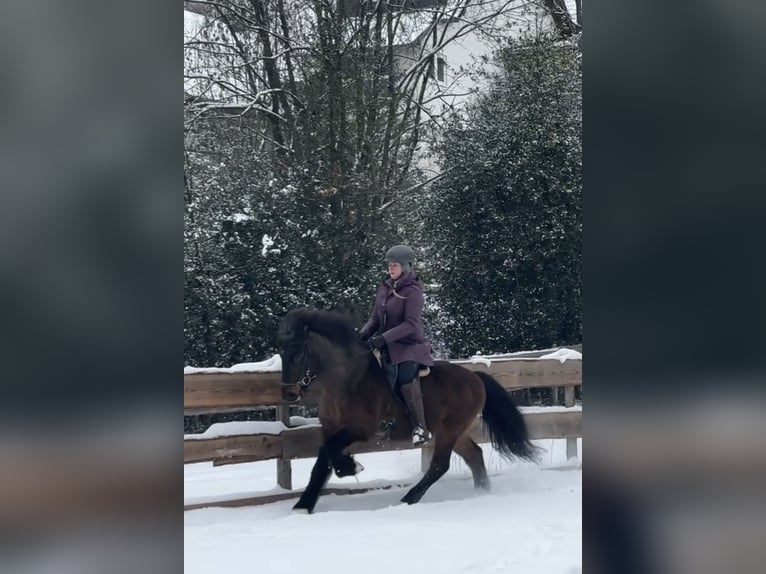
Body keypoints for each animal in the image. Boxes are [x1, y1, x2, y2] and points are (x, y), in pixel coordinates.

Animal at [277, 308, 538, 513]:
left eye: (298, 354)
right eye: (281, 353)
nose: (288, 394)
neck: (347, 381)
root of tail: (475, 377)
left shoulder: (361, 429)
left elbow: (327, 454)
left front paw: (344, 472)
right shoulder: (331, 428)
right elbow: (325, 460)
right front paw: (308, 501)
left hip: (450, 430)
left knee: (440, 465)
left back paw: (409, 499)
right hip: (452, 430)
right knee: (474, 455)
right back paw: (480, 492)